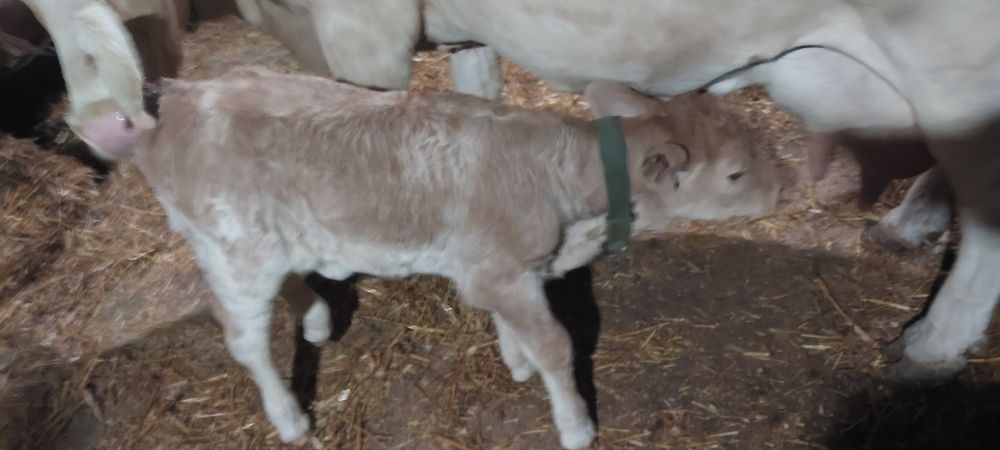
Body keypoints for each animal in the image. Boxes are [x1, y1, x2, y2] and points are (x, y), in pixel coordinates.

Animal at [88, 66, 780, 447]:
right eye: (737, 173)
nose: (788, 184)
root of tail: (182, 96)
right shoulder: (501, 266)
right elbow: (557, 345)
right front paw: (576, 425)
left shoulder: (497, 269)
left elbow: (515, 327)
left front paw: (515, 360)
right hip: (234, 245)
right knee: (245, 338)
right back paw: (288, 417)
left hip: (264, 238)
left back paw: (316, 317)